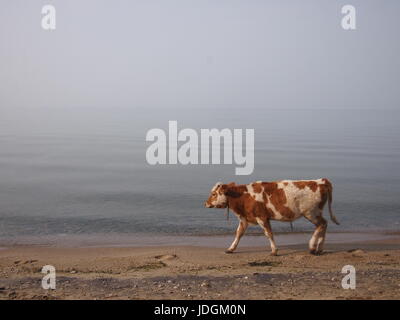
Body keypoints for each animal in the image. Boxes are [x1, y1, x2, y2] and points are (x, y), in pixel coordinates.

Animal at [205, 179, 340, 256]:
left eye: (214, 194)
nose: (205, 203)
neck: (243, 197)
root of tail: (321, 181)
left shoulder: (262, 217)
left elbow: (268, 233)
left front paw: (274, 251)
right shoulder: (245, 218)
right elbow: (239, 233)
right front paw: (231, 249)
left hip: (311, 212)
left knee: (322, 224)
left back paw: (312, 247)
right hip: (314, 213)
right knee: (324, 225)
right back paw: (319, 249)